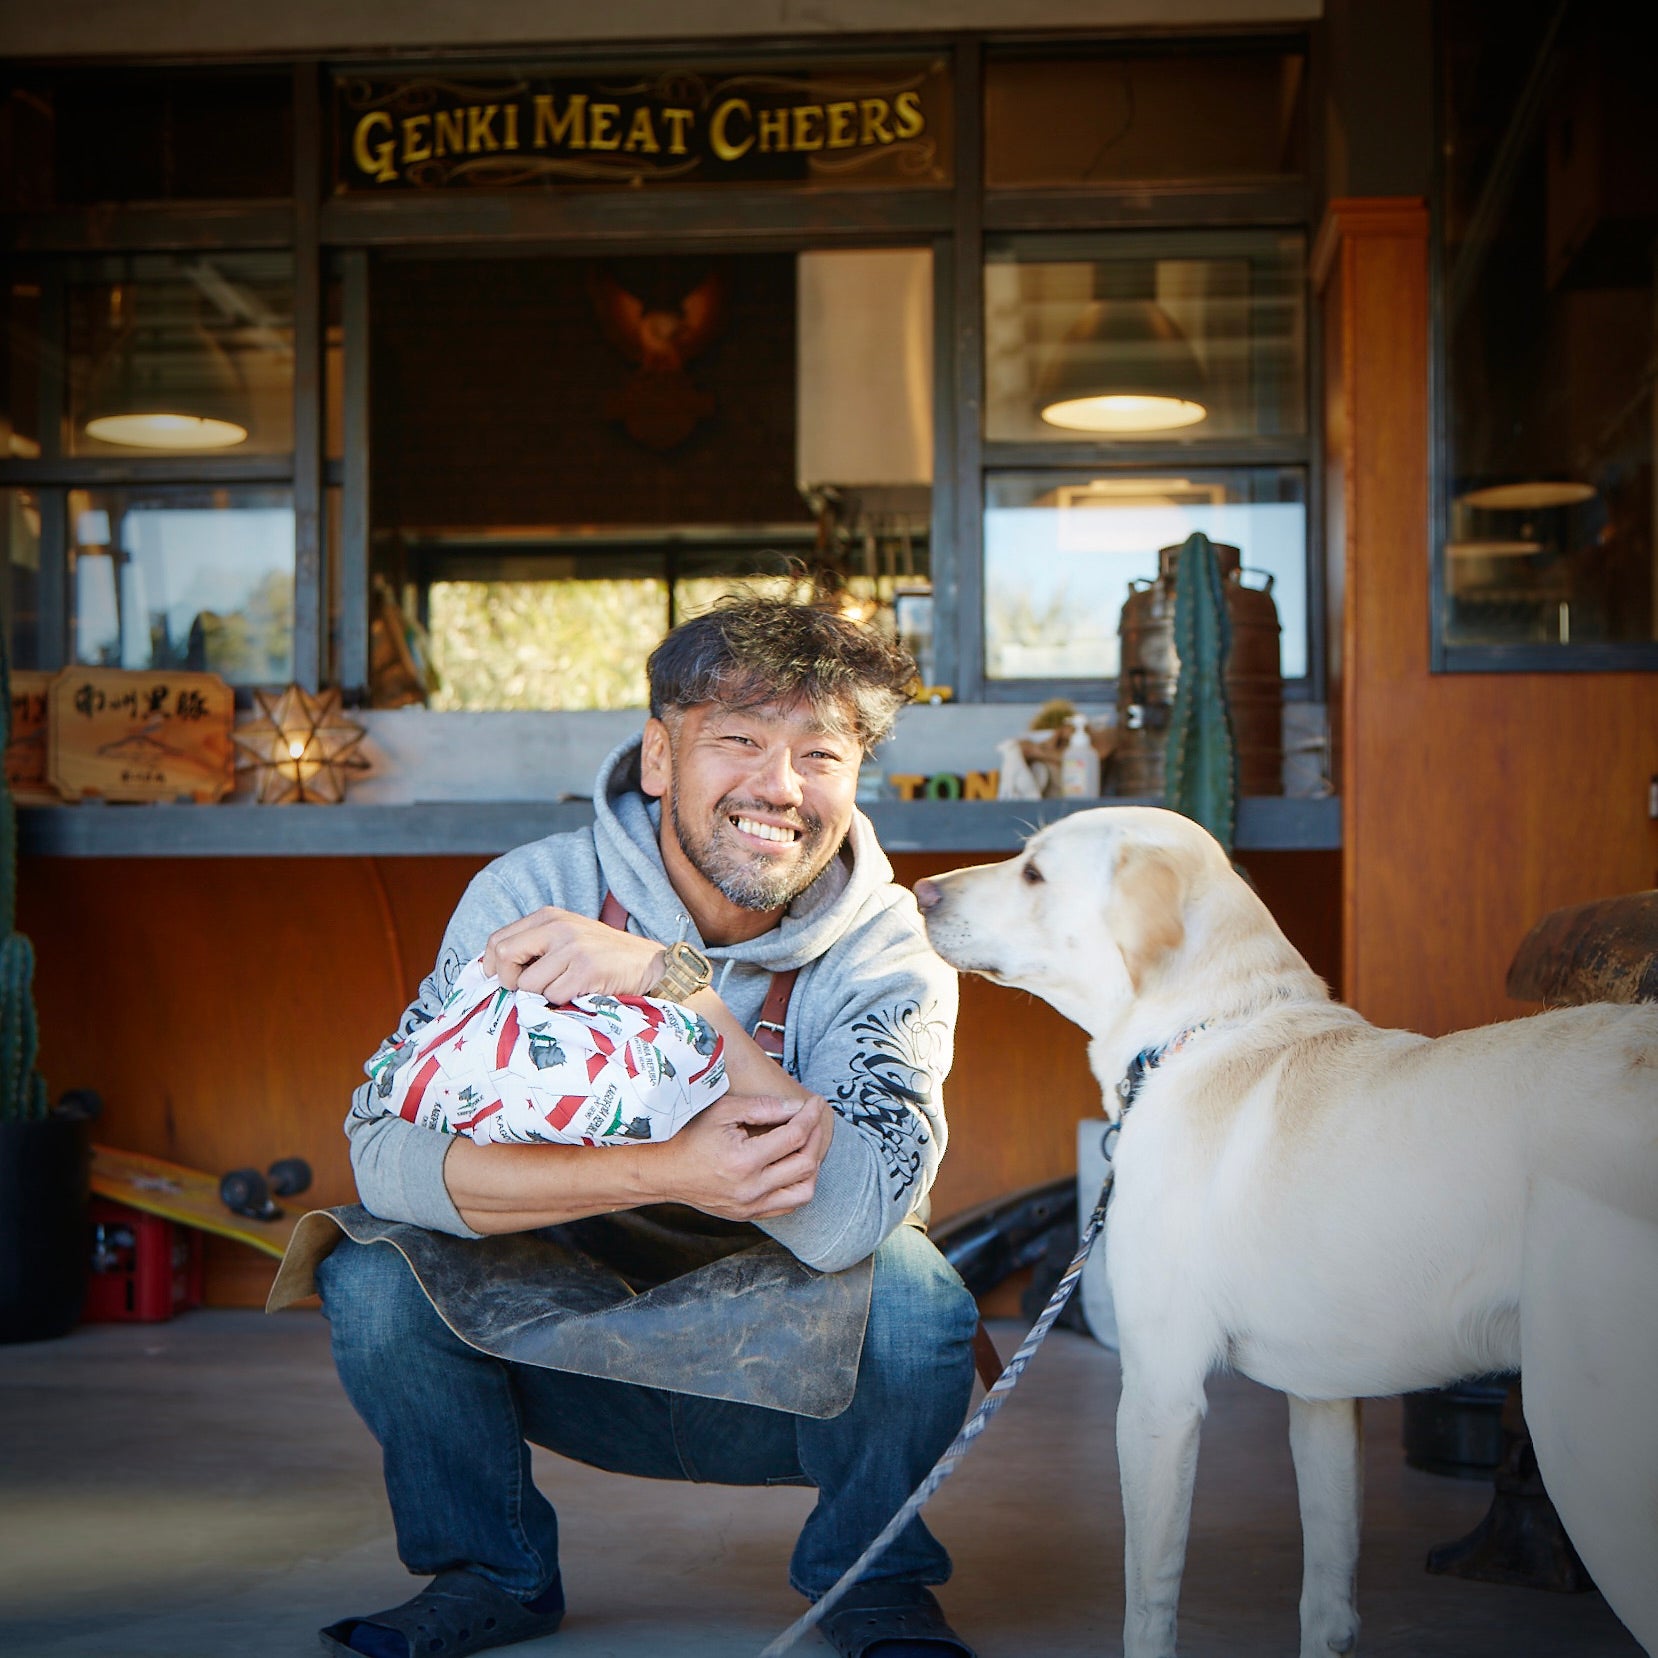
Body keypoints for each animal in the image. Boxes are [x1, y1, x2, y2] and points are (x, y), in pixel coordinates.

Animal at [921, 812, 1658, 1658]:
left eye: (1035, 873)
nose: (921, 890)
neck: (1206, 1029)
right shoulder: (1325, 1402)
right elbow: (1327, 1604)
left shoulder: (1159, 1396)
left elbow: (1149, 1608)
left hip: (1586, 1455)